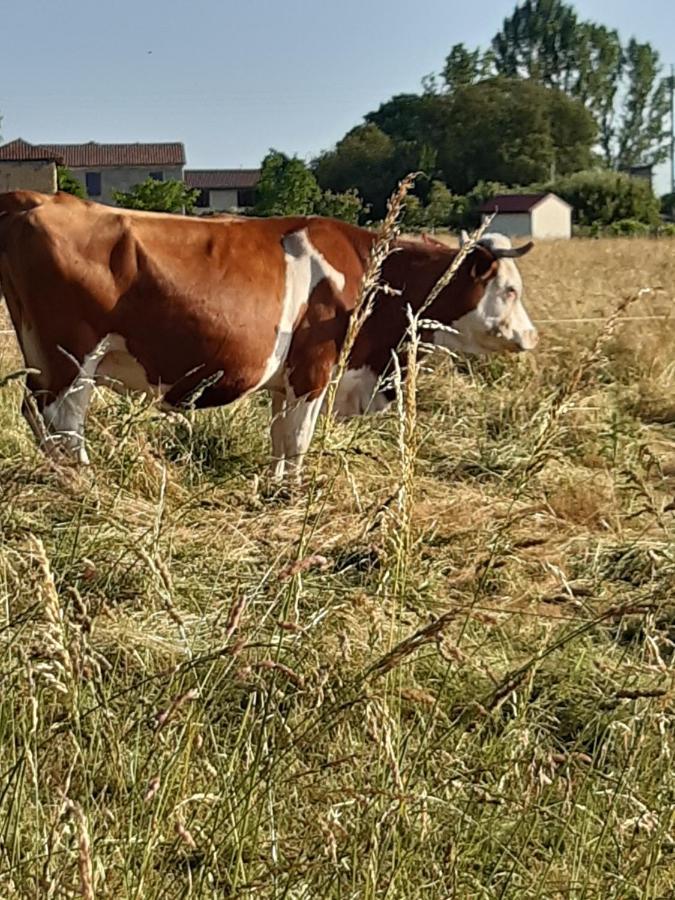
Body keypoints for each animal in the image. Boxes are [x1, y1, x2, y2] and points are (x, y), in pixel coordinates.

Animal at [0, 192, 540, 478]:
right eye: (510, 289)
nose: (532, 338)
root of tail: (43, 198)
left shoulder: (287, 380)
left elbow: (280, 436)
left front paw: (276, 485)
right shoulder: (315, 369)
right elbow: (299, 439)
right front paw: (295, 493)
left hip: (44, 358)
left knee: (36, 415)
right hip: (73, 360)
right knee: (65, 424)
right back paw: (84, 483)